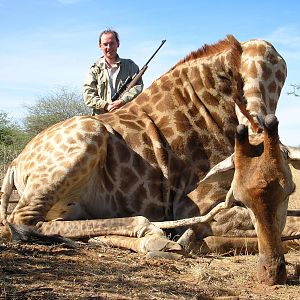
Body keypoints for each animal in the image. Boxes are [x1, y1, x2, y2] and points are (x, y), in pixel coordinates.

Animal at [1, 35, 300, 286]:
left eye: (289, 190)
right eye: (240, 196)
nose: (272, 274)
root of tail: (15, 163)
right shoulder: (192, 205)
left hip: (71, 207)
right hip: (86, 140)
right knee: (22, 221)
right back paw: (155, 237)